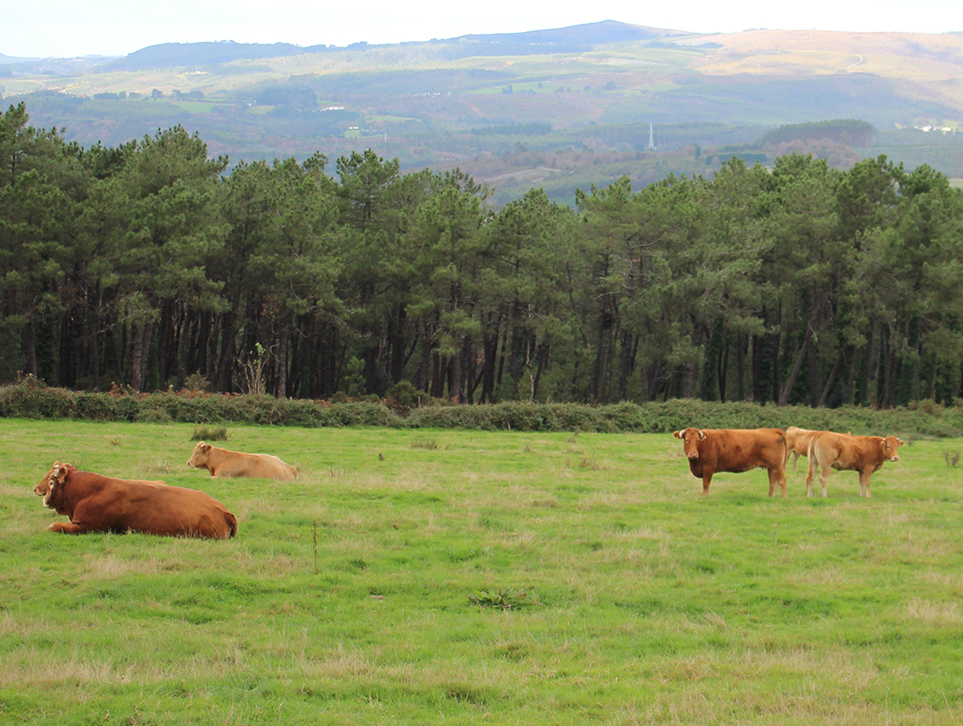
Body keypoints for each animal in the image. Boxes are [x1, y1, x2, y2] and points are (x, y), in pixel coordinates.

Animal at [33, 462, 237, 538]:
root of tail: (224, 511)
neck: (89, 491)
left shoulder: (89, 526)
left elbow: (54, 526)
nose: (36, 488)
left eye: (50, 479)